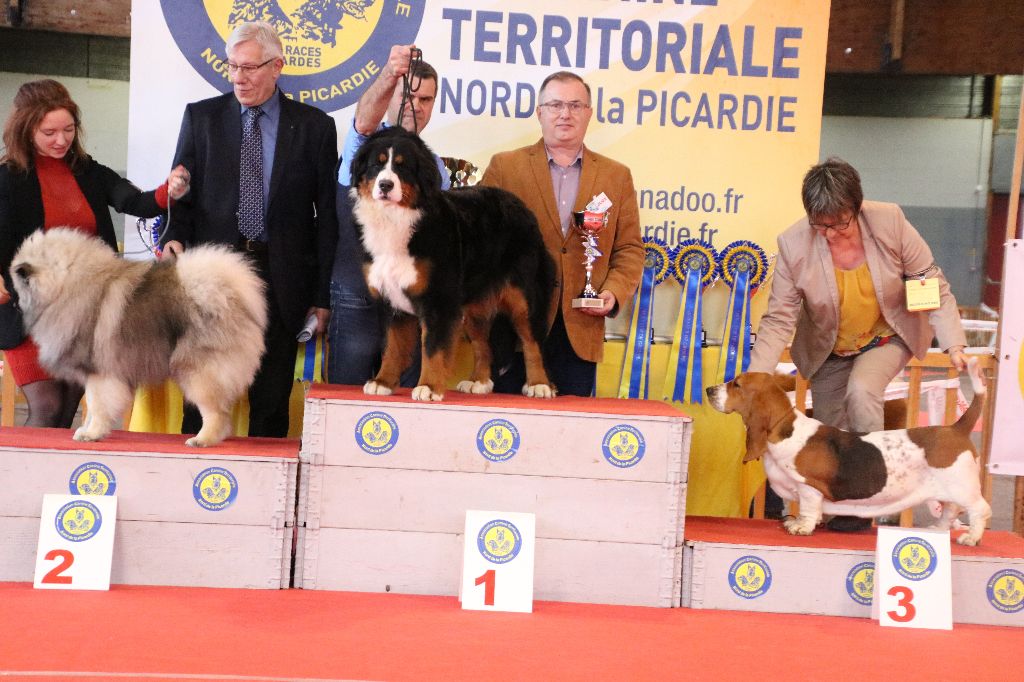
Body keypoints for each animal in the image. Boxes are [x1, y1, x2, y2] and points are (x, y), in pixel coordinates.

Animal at [9, 225, 266, 444]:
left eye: (17, 286)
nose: (12, 302)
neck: (65, 283)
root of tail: (228, 296)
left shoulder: (100, 373)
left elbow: (97, 405)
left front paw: (92, 433)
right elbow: (92, 406)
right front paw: (86, 429)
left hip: (198, 370)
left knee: (216, 412)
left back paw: (203, 439)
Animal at [348, 125, 557, 401]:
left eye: (403, 167)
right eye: (376, 164)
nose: (385, 184)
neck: (395, 219)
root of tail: (522, 207)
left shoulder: (439, 299)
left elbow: (433, 349)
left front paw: (428, 387)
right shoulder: (390, 299)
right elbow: (392, 347)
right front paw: (382, 382)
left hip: (523, 294)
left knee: (532, 342)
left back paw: (539, 385)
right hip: (473, 306)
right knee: (483, 344)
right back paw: (478, 381)